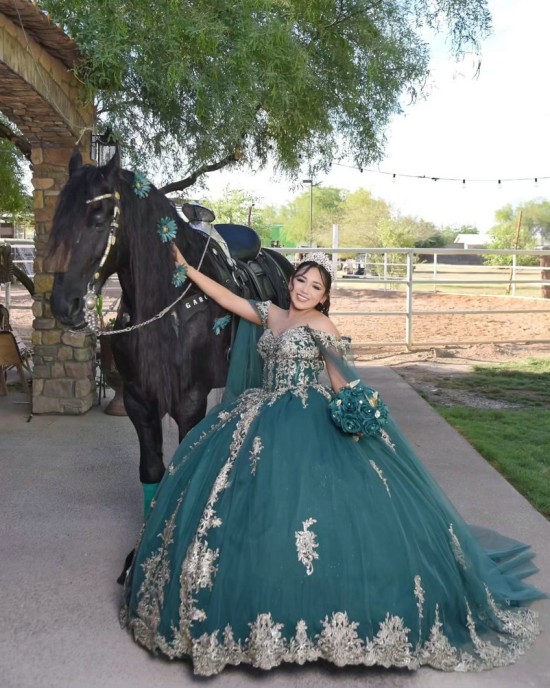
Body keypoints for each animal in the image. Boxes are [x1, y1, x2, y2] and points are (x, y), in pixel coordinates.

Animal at [48, 149, 294, 494]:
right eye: (60, 219)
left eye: (99, 218)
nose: (63, 305)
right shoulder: (138, 399)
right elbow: (152, 471)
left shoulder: (190, 400)